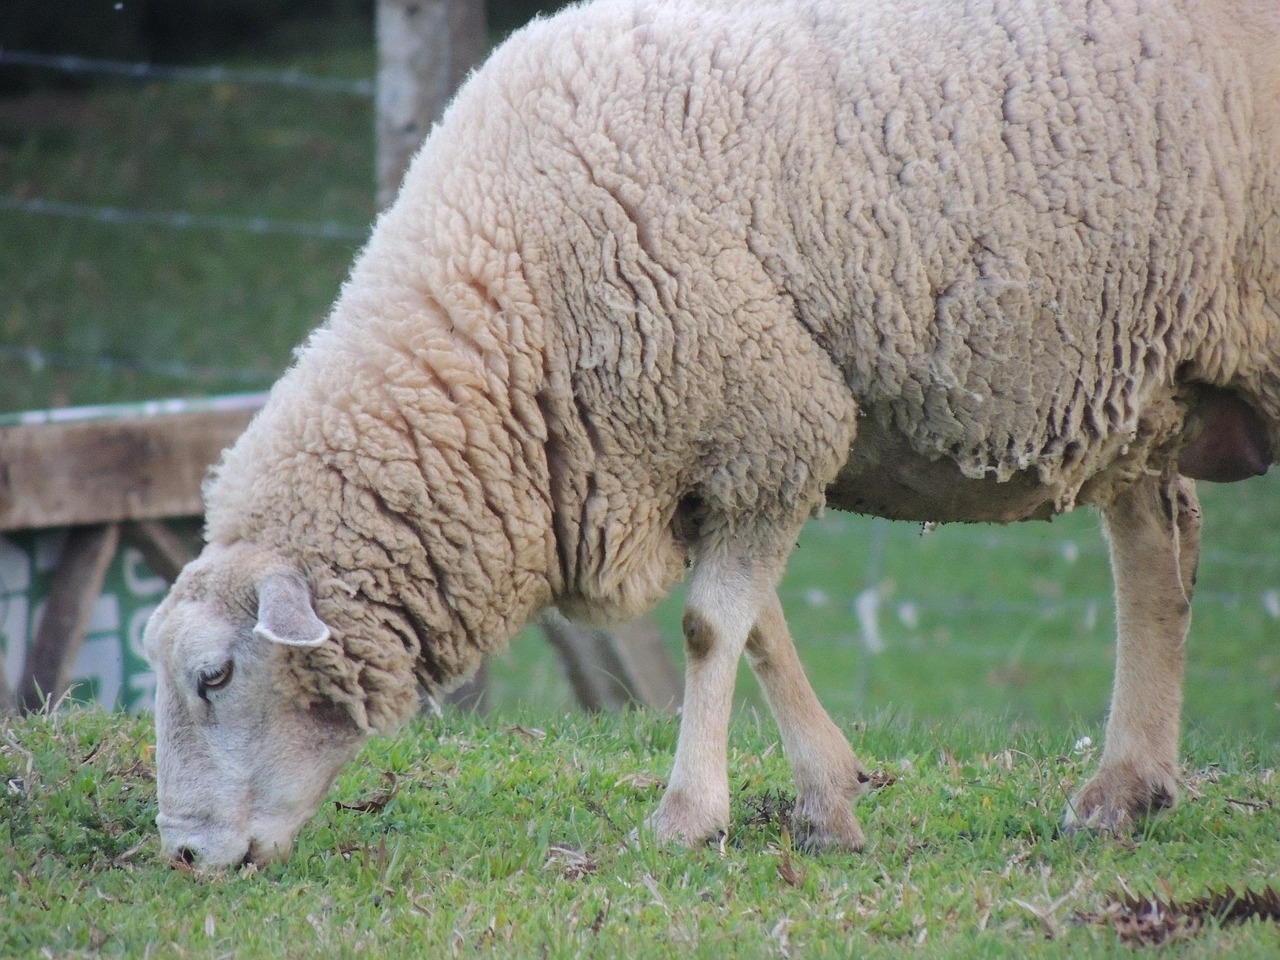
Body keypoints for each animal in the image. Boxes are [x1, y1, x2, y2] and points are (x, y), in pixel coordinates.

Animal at [142, 0, 1280, 870]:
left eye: (215, 676)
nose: (186, 855)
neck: (505, 299)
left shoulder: (775, 423)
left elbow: (706, 628)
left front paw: (688, 817)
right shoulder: (710, 452)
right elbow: (760, 629)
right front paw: (827, 800)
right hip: (1144, 380)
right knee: (1160, 544)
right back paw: (1126, 788)